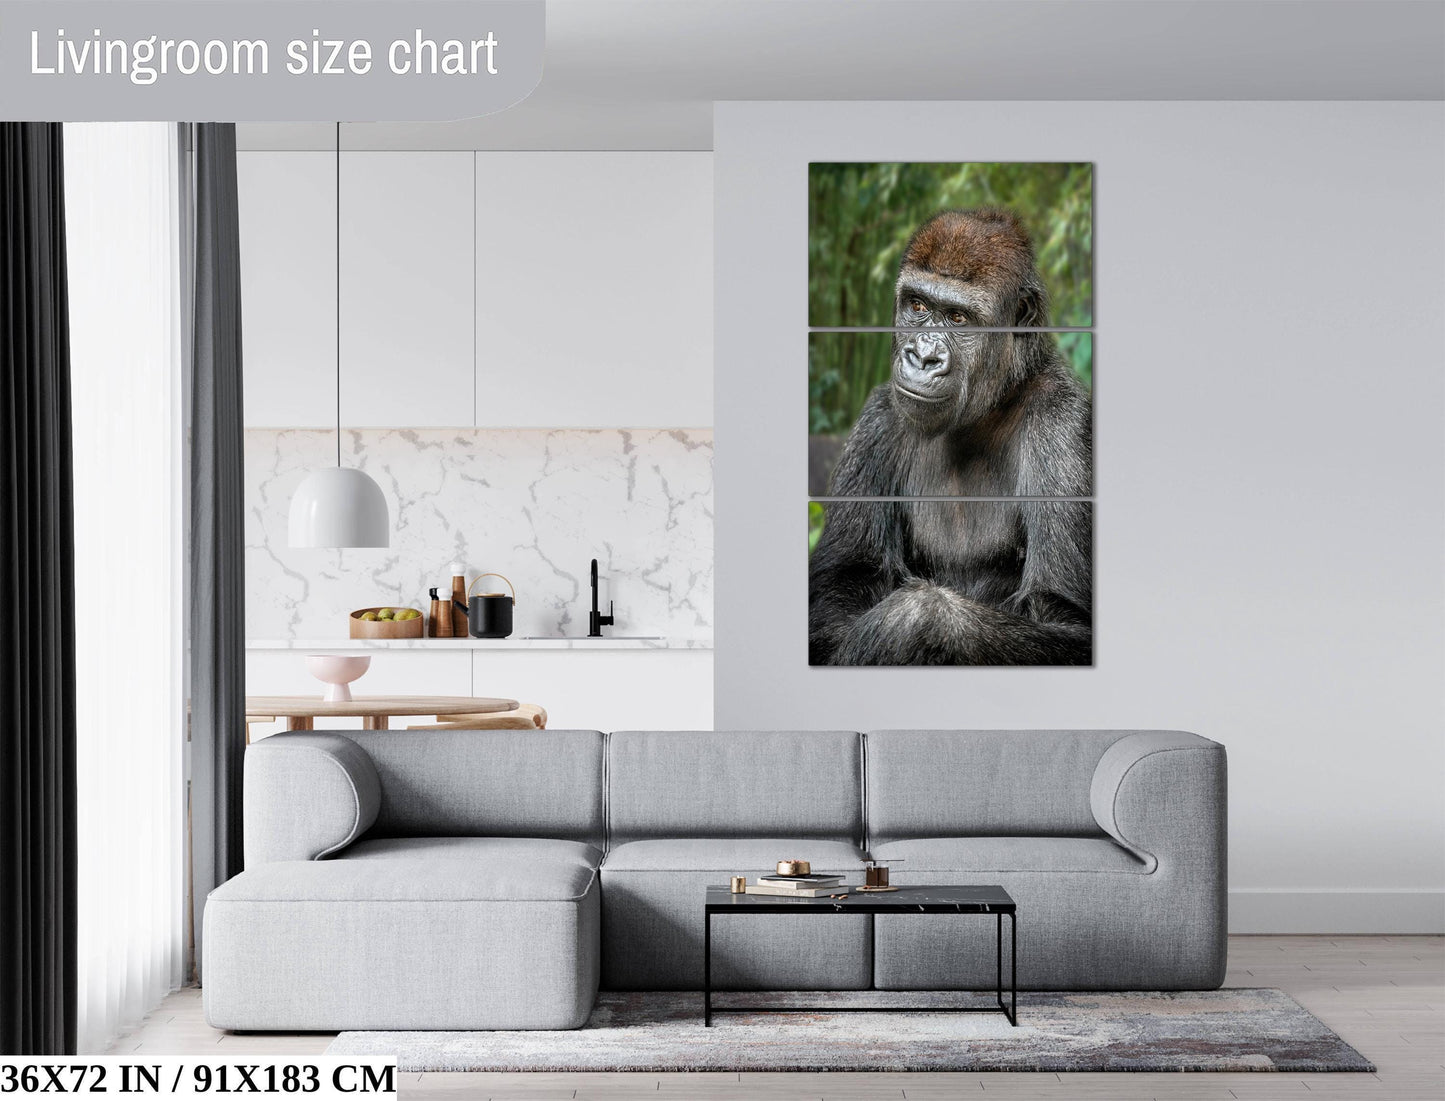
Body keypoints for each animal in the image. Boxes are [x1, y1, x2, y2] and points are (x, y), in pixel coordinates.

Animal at [808, 208, 1092, 666]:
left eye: (959, 319)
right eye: (918, 305)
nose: (923, 357)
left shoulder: (1063, 425)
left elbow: (1067, 618)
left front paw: (907, 623)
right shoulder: (878, 421)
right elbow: (838, 595)